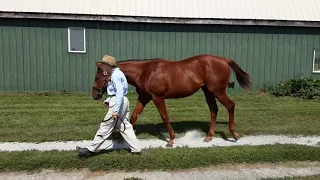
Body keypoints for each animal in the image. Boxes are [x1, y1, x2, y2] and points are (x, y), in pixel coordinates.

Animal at [91, 54, 251, 147]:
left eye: (97, 77)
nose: (94, 95)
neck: (145, 71)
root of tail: (223, 60)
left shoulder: (157, 98)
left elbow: (165, 117)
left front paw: (172, 139)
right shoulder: (144, 97)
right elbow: (134, 116)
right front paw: (123, 137)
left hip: (218, 91)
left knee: (230, 105)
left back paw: (234, 134)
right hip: (209, 92)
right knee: (214, 110)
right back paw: (209, 136)